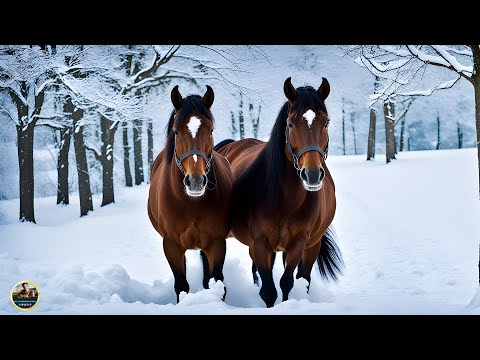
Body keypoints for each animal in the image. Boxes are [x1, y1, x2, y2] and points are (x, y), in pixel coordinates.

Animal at [148, 86, 234, 302]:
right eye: (176, 131)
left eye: (211, 130)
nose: (195, 180)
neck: (190, 204)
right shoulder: (171, 245)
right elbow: (181, 285)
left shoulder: (216, 243)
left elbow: (217, 282)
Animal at [216, 76, 344, 306]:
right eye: (290, 123)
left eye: (326, 122)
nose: (312, 174)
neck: (287, 200)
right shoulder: (259, 243)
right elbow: (268, 290)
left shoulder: (298, 244)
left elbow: (287, 282)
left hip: (312, 245)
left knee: (304, 278)